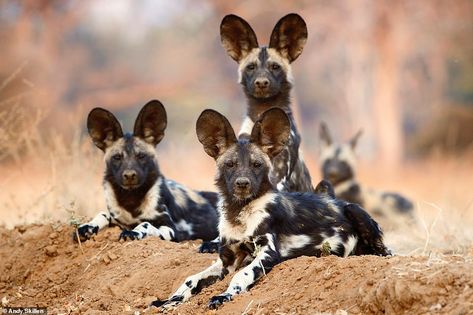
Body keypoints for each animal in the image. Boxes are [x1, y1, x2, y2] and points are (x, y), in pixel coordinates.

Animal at [74, 100, 218, 243]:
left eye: (141, 156)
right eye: (117, 157)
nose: (130, 175)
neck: (131, 198)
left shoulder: (172, 230)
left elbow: (145, 223)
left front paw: (133, 232)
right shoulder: (119, 219)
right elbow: (103, 214)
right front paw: (87, 227)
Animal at [153, 108, 390, 312]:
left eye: (257, 165)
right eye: (230, 164)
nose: (242, 183)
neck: (239, 212)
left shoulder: (267, 253)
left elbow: (241, 276)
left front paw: (223, 296)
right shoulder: (227, 260)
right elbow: (191, 278)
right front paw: (170, 301)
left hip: (356, 212)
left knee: (384, 251)